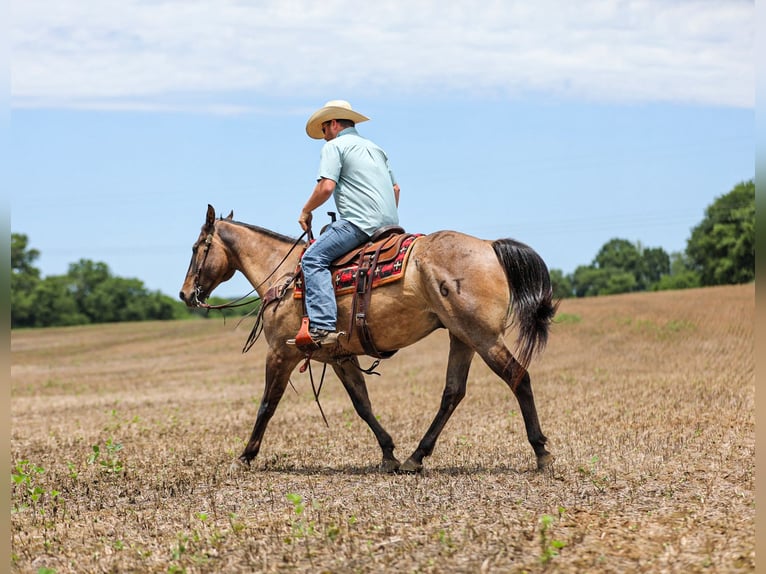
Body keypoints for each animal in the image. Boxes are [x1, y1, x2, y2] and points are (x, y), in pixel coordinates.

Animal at [179, 204, 558, 473]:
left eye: (198, 247)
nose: (185, 294)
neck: (285, 277)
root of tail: (490, 247)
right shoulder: (339, 356)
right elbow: (362, 404)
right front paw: (389, 453)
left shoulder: (279, 354)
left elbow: (267, 405)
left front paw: (245, 456)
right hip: (461, 336)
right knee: (453, 393)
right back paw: (415, 458)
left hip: (483, 336)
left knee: (518, 377)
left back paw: (541, 452)